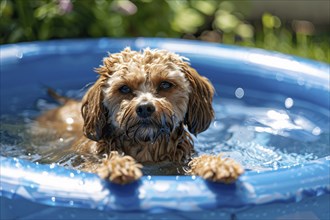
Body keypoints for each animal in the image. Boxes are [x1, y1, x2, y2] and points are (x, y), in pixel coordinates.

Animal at [36, 48, 242, 184]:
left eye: (165, 84)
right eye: (124, 88)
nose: (144, 108)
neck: (146, 148)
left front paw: (217, 165)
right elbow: (99, 164)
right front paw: (117, 166)